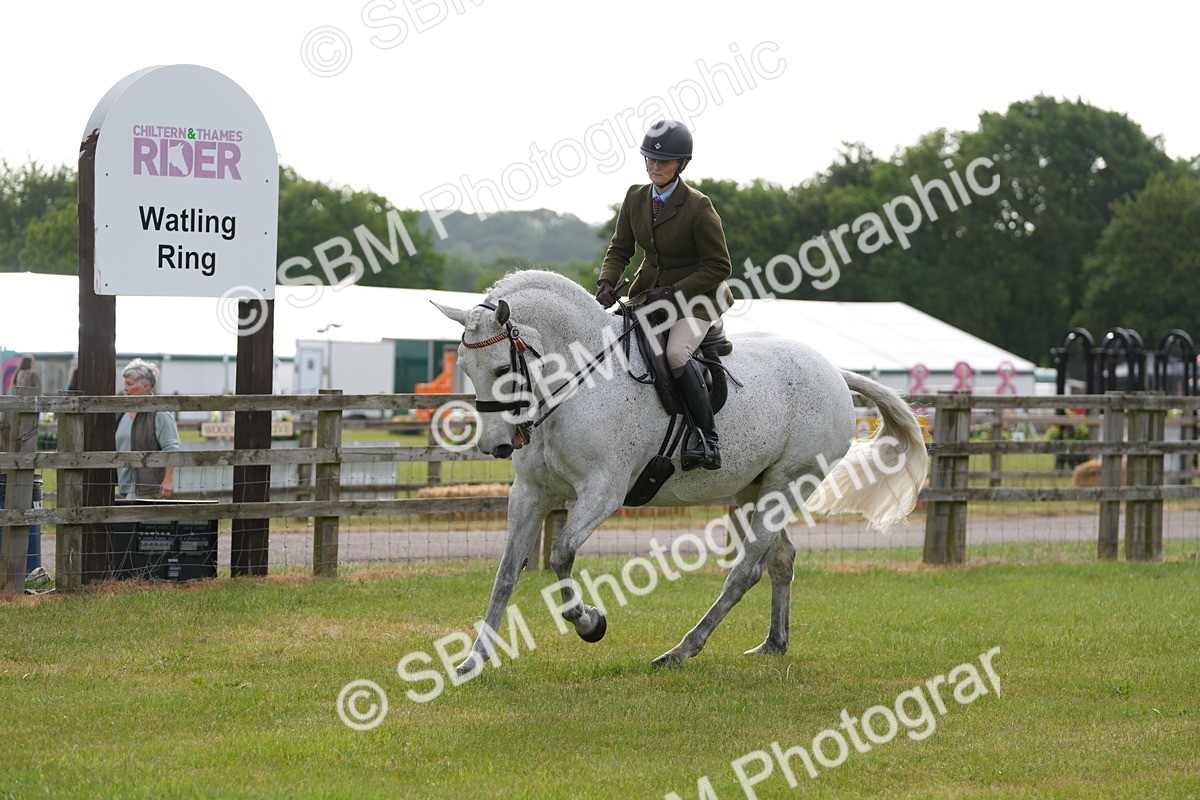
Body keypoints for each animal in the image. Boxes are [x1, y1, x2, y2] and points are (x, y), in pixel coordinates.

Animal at [433, 270, 927, 672]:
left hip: (789, 483)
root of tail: (834, 372)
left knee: (746, 569)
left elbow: (560, 555)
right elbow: (506, 573)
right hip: (754, 487)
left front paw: (590, 623)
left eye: (502, 367)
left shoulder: (603, 492)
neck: (578, 381)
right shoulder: (531, 492)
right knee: (779, 560)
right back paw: (773, 644)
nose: (495, 445)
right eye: (465, 367)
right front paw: (473, 661)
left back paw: (681, 650)